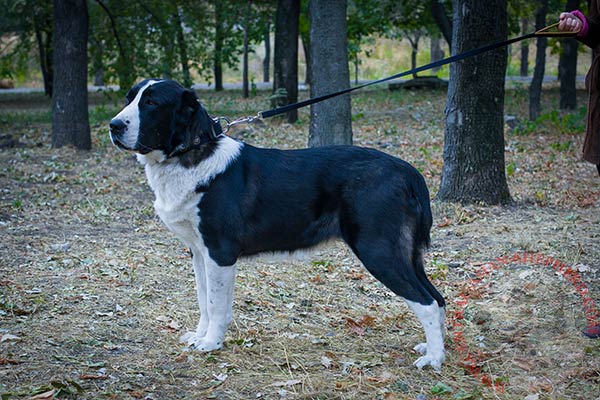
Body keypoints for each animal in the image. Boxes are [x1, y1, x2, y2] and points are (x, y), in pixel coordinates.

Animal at [110, 79, 446, 370]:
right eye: (129, 99)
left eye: (151, 103)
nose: (114, 126)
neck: (192, 152)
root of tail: (407, 172)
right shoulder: (199, 252)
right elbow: (204, 300)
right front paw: (201, 335)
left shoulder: (219, 253)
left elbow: (216, 304)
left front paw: (211, 343)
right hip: (405, 253)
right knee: (437, 296)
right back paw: (436, 348)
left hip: (377, 250)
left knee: (427, 301)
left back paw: (433, 359)